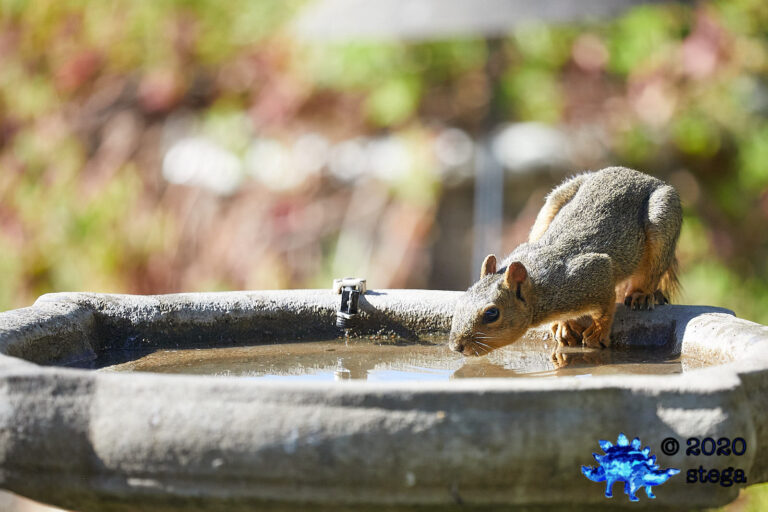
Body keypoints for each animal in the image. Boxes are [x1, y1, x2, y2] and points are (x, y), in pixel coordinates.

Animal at [448, 166, 682, 356]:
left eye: (492, 313)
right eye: (460, 302)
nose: (456, 346)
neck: (540, 285)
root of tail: (642, 175)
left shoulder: (595, 271)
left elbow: (606, 307)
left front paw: (598, 332)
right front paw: (563, 326)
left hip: (661, 218)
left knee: (651, 273)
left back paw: (641, 295)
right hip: (554, 201)